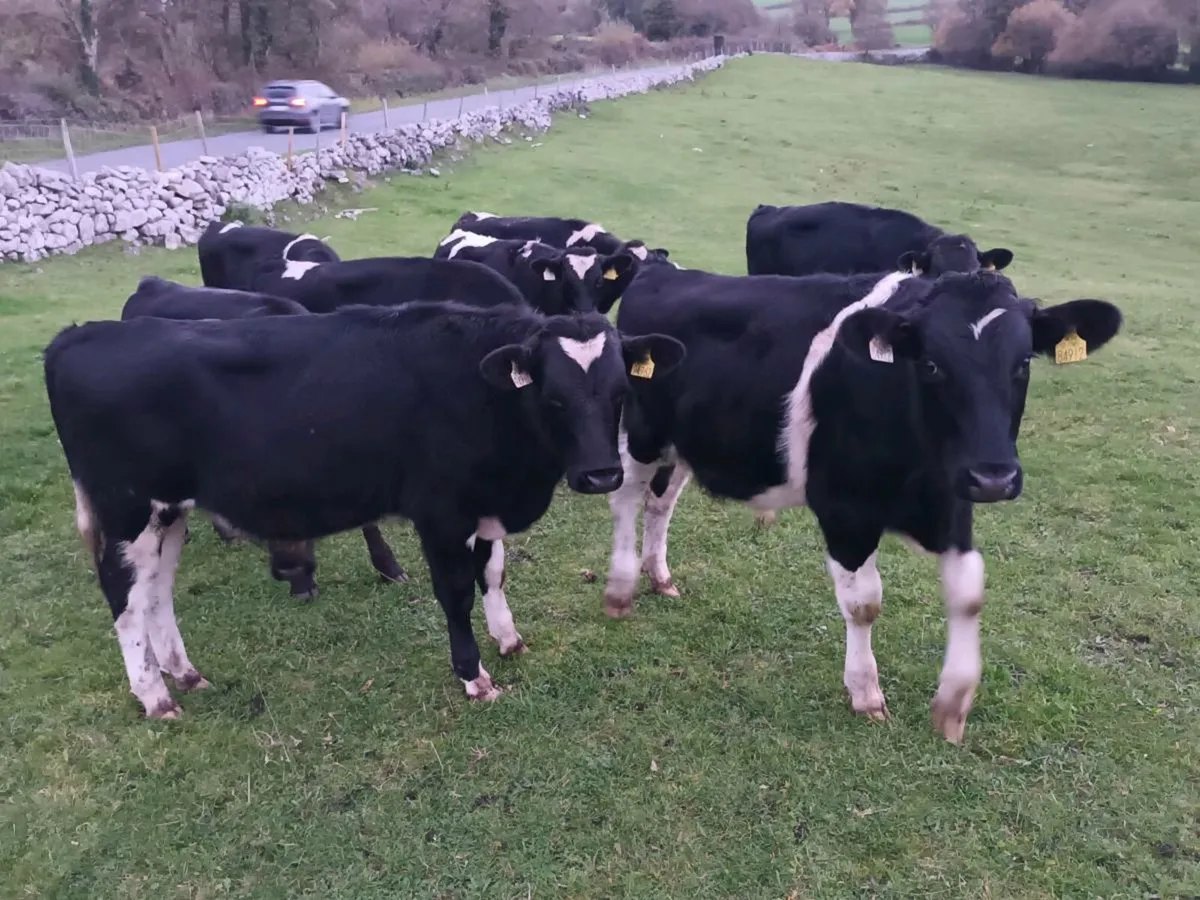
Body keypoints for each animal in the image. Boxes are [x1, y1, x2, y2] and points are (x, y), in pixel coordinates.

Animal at [601, 262, 1122, 743]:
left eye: (1023, 363)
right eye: (931, 364)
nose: (994, 477)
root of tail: (662, 269)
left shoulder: (950, 502)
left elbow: (969, 594)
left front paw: (953, 701)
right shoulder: (844, 508)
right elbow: (863, 604)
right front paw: (866, 693)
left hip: (683, 444)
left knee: (661, 502)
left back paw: (660, 576)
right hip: (642, 432)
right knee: (626, 499)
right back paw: (621, 588)